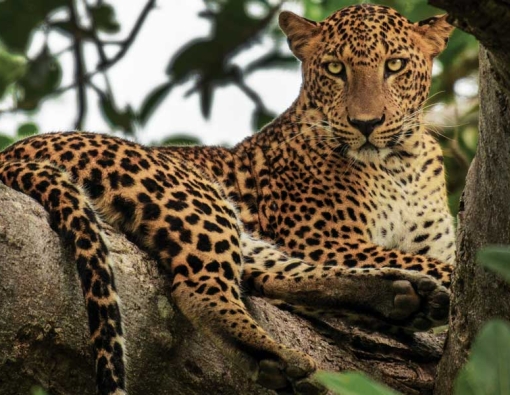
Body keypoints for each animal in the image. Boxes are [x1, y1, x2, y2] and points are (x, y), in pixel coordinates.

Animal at [0, 5, 454, 395]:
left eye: (394, 66)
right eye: (335, 69)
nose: (366, 124)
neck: (401, 164)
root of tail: (13, 152)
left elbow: (435, 259)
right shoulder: (322, 238)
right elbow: (438, 265)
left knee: (273, 274)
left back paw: (402, 296)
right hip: (189, 192)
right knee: (202, 287)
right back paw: (279, 355)